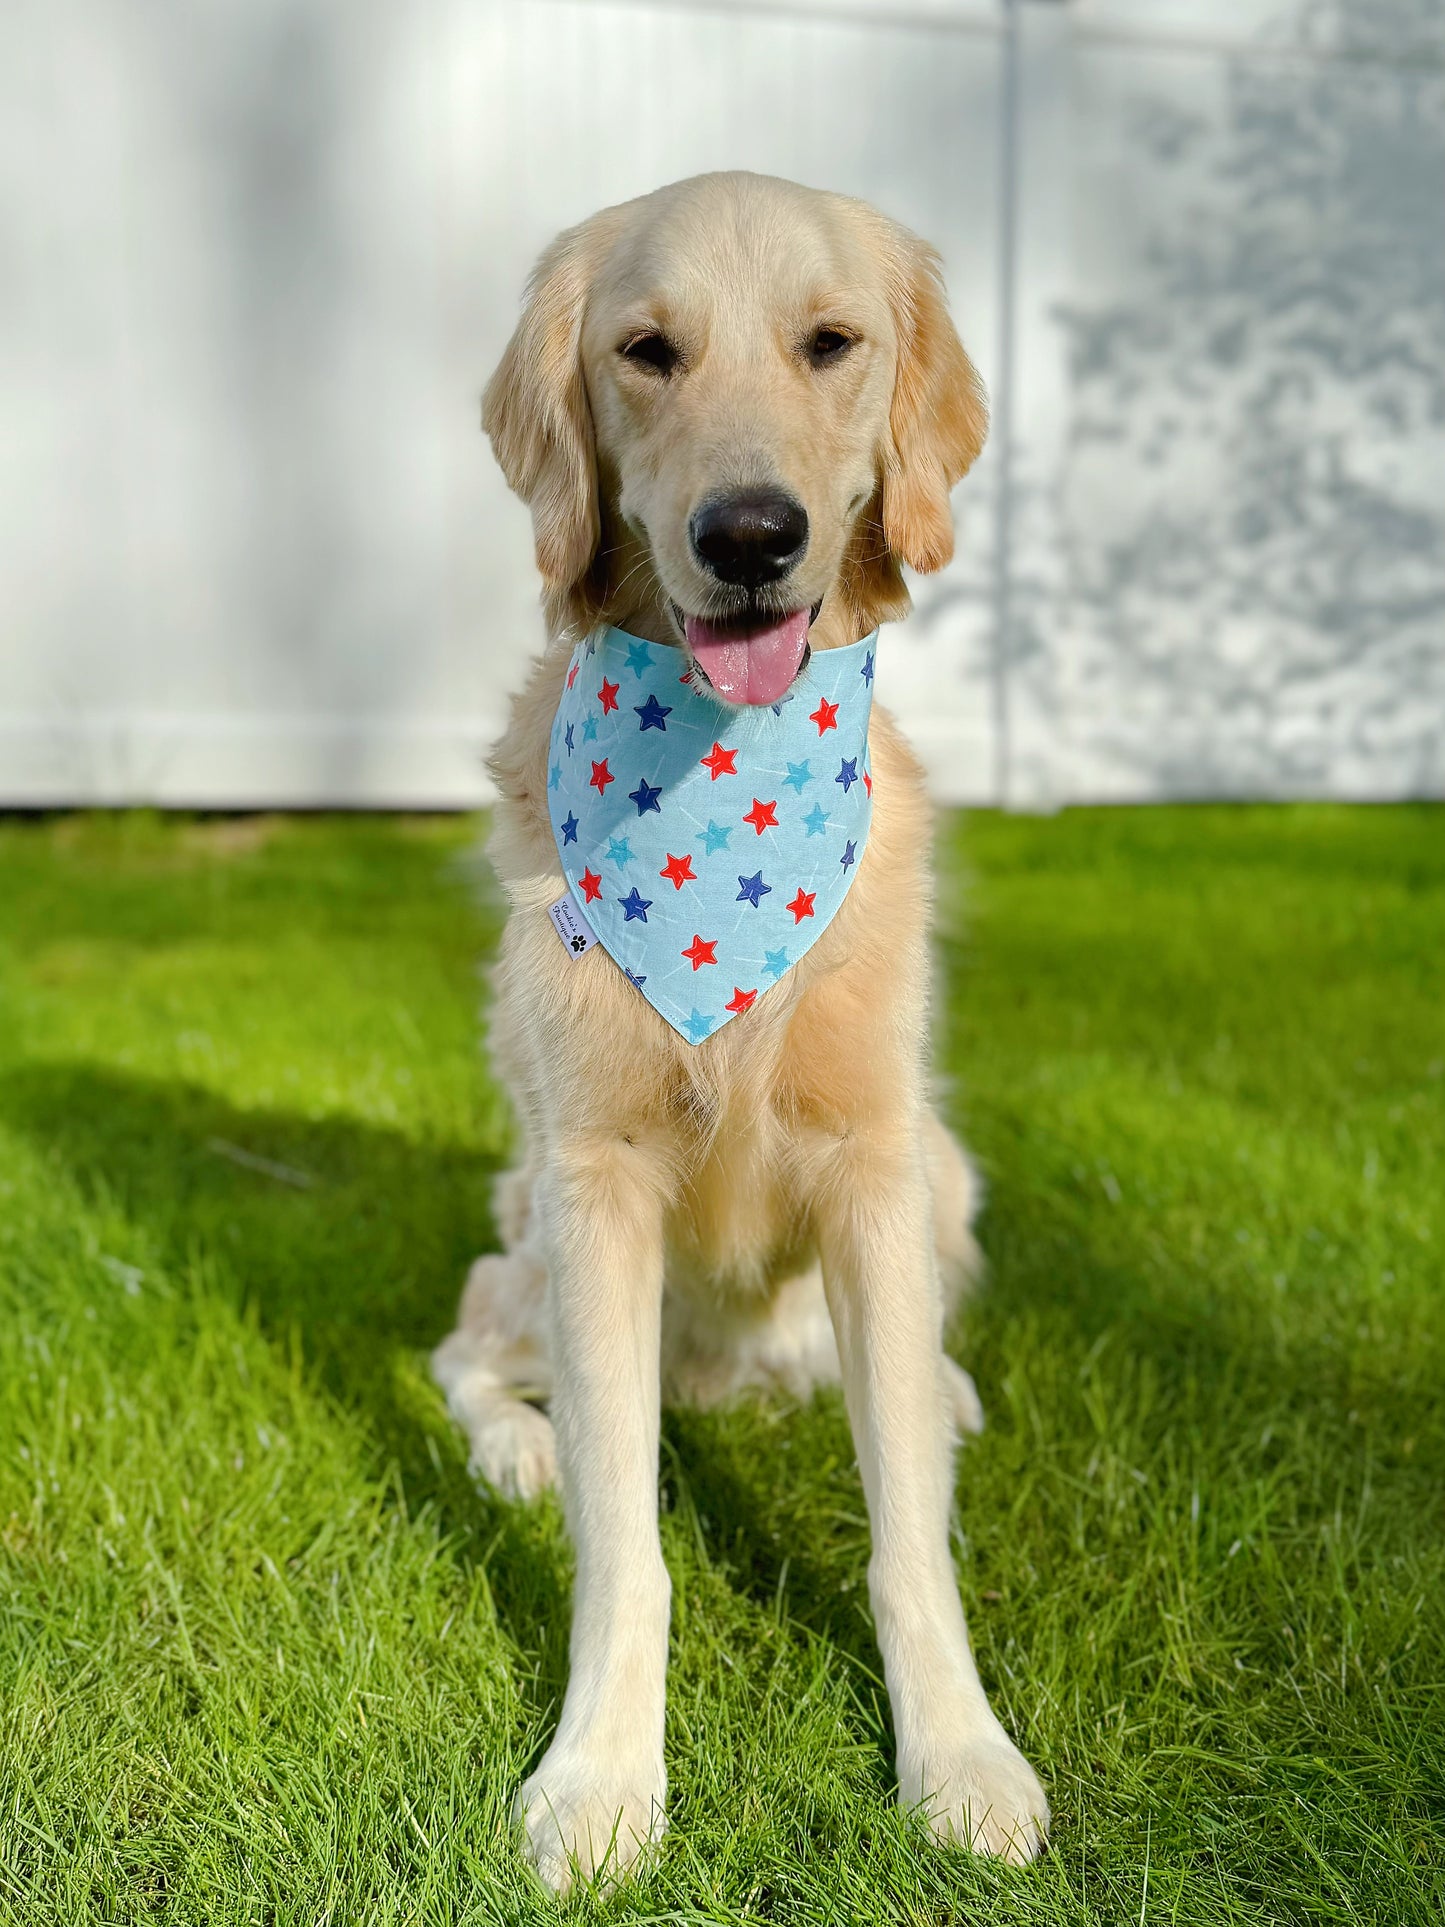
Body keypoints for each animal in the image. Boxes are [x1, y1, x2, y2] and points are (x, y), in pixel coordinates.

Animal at [429, 173, 1055, 1888]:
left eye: (830, 342)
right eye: (647, 351)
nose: (752, 534)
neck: (719, 764)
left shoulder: (875, 1166)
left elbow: (908, 1529)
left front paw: (959, 1754)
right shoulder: (593, 1183)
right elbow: (622, 1545)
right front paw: (598, 1776)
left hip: (947, 1170)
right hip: (528, 1230)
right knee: (464, 1348)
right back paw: (518, 1445)